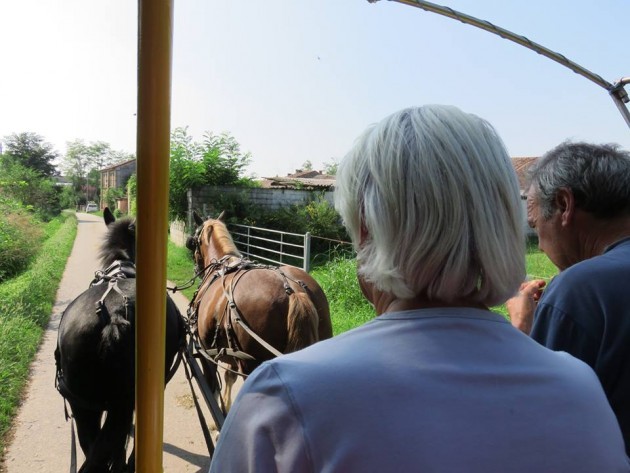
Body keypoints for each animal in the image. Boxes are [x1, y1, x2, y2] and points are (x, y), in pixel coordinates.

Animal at [186, 210, 336, 406]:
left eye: (192, 243)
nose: (196, 269)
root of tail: (293, 291)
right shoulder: (231, 353)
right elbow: (228, 378)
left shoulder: (206, 352)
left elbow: (212, 389)